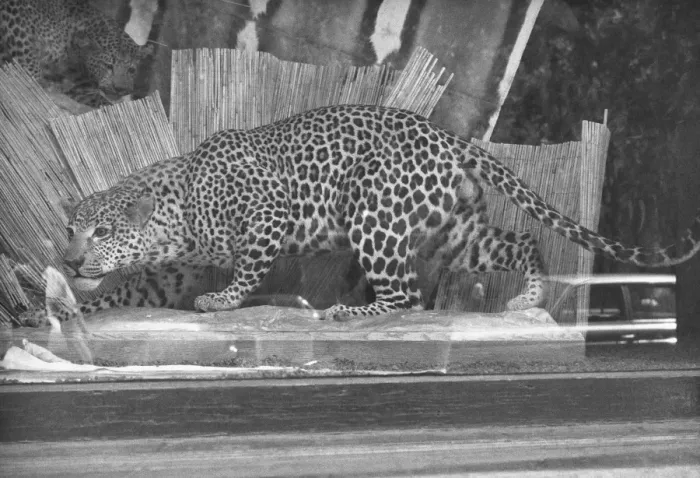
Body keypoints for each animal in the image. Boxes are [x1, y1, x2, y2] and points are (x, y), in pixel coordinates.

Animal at [0, 0, 153, 100]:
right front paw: (37, 83)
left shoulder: (76, 82)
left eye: (131, 70)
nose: (120, 89)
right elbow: (28, 59)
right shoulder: (17, 22)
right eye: (108, 66)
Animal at [20, 104, 700, 325]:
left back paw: (346, 311)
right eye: (71, 231)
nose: (71, 261)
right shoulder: (171, 270)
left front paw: (225, 301)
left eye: (102, 231)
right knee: (519, 244)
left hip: (375, 220)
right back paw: (527, 299)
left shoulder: (268, 217)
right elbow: (128, 288)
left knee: (404, 297)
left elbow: (247, 270)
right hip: (451, 232)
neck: (179, 210)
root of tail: (453, 139)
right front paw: (56, 308)